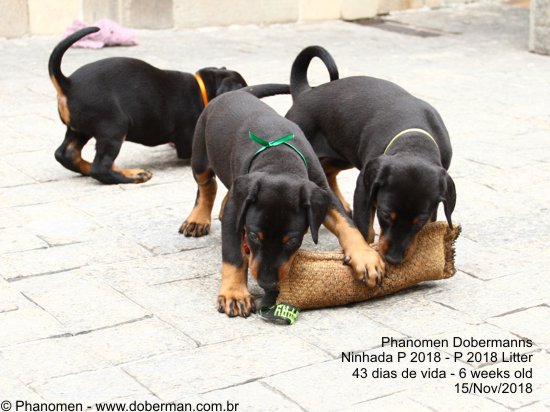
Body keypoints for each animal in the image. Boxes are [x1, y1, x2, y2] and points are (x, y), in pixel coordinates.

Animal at [49, 26, 248, 184]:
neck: (203, 90)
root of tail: (68, 83)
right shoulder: (188, 140)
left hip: (79, 129)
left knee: (66, 154)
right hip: (114, 126)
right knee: (100, 168)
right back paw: (133, 175)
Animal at [179, 89, 385, 317]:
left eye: (292, 241)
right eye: (253, 236)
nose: (267, 283)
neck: (279, 160)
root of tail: (234, 91)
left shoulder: (322, 194)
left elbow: (346, 225)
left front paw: (365, 258)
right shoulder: (236, 212)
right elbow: (234, 255)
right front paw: (235, 295)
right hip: (200, 153)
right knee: (207, 185)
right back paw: (197, 219)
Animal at [286, 46, 456, 265]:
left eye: (420, 220)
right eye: (385, 214)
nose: (393, 259)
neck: (414, 141)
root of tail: (306, 92)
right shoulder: (364, 187)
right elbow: (364, 229)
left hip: (343, 154)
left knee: (329, 171)